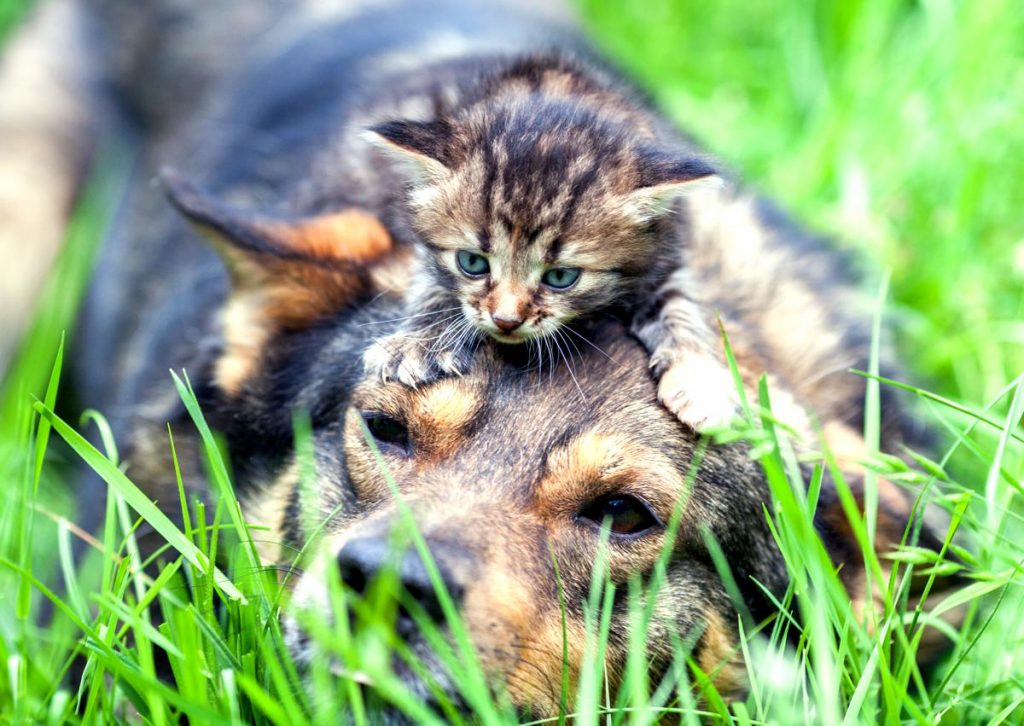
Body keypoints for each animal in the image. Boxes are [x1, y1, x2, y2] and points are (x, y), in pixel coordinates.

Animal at [364, 58, 741, 430]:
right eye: (472, 263)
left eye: (561, 277)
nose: (506, 321)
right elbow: (433, 285)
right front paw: (418, 341)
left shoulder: (664, 256)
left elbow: (681, 308)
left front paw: (702, 382)